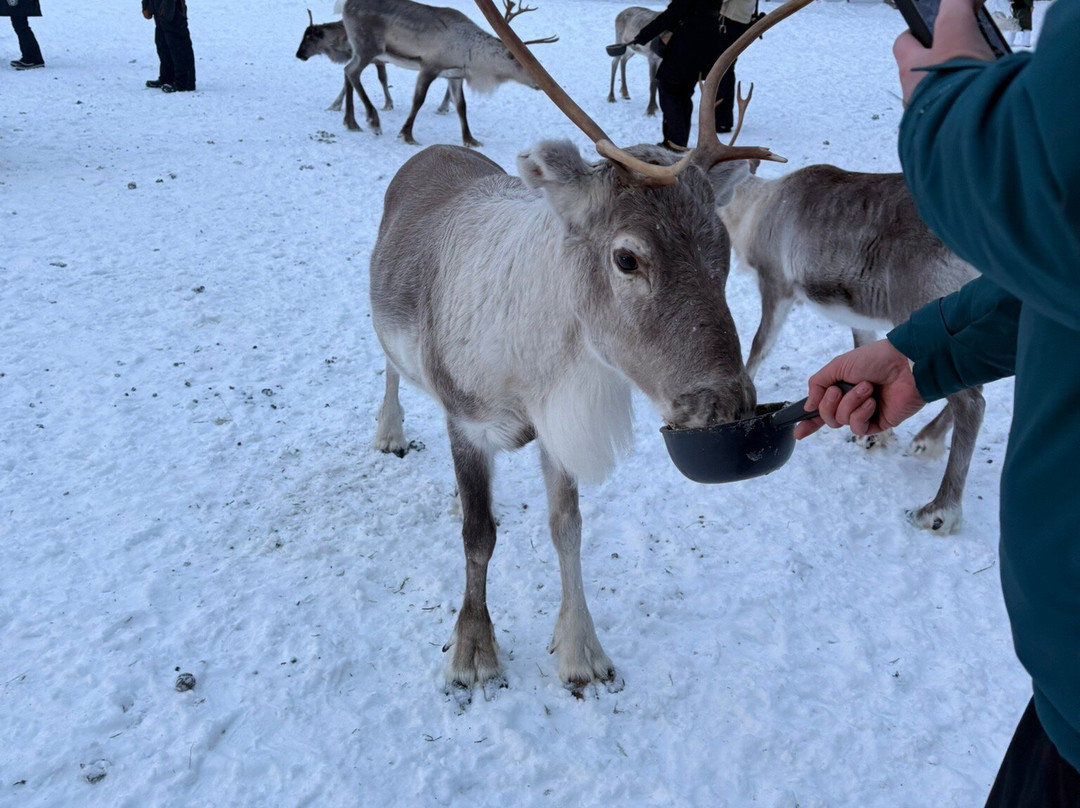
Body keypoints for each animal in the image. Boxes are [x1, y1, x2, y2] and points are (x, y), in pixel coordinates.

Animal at [335, 0, 557, 147]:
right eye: (522, 63)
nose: (540, 84)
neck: (470, 55)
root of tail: (344, 4)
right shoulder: (429, 67)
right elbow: (419, 100)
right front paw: (407, 134)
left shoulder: (455, 75)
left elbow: (461, 106)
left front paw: (469, 139)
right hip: (368, 47)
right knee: (352, 72)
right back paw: (373, 121)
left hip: (360, 49)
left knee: (346, 71)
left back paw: (350, 121)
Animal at [368, 0, 812, 703]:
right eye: (627, 257)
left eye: (721, 247)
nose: (726, 403)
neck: (538, 367)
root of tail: (435, 149)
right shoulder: (466, 419)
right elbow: (478, 536)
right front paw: (472, 653)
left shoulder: (556, 430)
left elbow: (567, 529)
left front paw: (582, 651)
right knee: (389, 365)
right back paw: (389, 431)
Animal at [719, 165, 983, 535]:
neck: (755, 208)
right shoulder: (858, 320)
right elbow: (863, 355)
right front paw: (874, 435)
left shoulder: (776, 284)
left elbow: (759, 346)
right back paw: (926, 440)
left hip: (925, 311)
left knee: (971, 401)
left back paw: (938, 509)